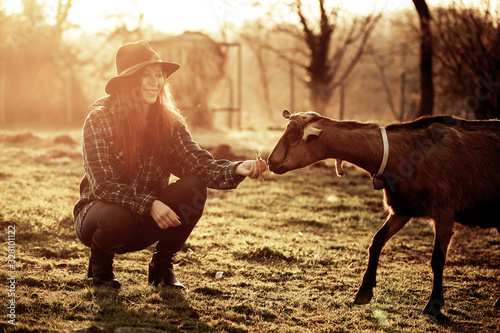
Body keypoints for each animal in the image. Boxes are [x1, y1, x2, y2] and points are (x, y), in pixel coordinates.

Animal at [268, 110, 500, 320]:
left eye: (292, 137)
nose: (270, 162)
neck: (400, 153)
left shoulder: (444, 211)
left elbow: (438, 259)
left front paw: (433, 306)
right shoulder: (402, 209)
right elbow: (377, 241)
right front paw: (364, 292)